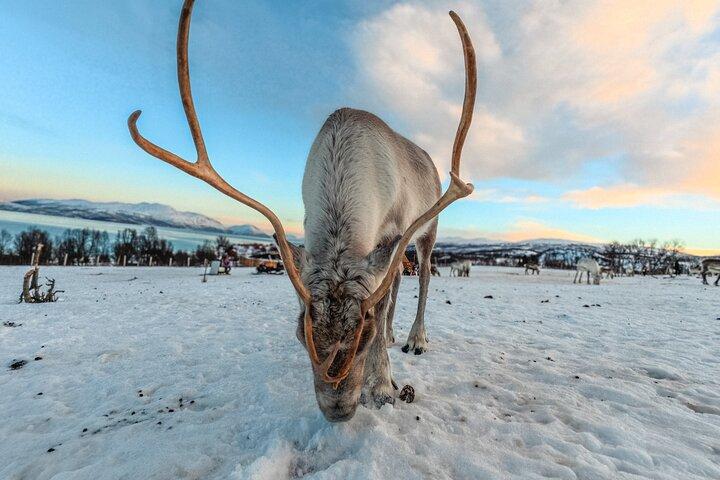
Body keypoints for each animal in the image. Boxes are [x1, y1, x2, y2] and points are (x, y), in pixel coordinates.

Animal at [127, 0, 476, 422]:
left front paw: (381, 386)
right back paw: (396, 332)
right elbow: (381, 290)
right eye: (300, 333)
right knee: (395, 282)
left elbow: (383, 300)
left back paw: (414, 338)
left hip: (429, 228)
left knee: (422, 275)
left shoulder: (392, 232)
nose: (338, 411)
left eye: (364, 336)